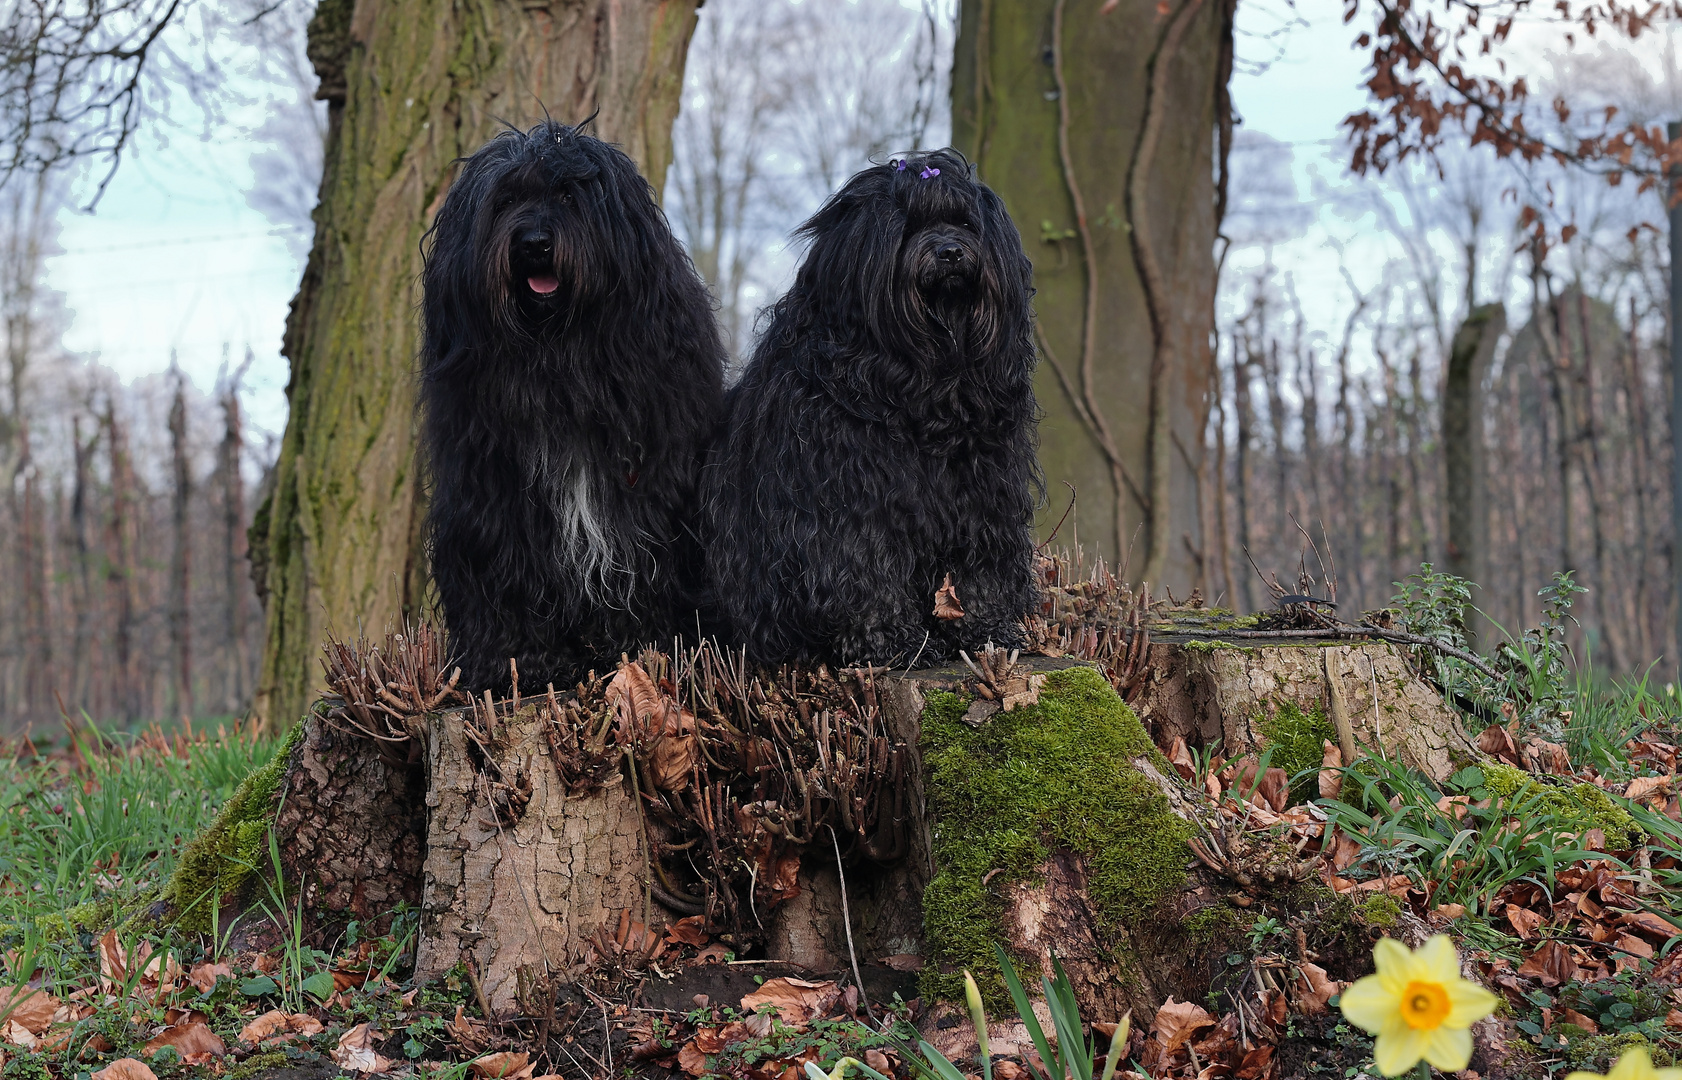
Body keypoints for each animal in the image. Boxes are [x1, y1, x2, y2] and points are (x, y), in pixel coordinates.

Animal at [418, 117, 723, 689]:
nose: (534, 242)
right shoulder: (491, 491)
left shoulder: (645, 484)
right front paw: (516, 663)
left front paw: (643, 648)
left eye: (568, 195)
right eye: (506, 199)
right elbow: (506, 566)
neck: (558, 357)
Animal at [696, 147, 1036, 659]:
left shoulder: (984, 487)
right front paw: (891, 641)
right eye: (908, 225)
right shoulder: (848, 492)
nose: (950, 251)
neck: (925, 379)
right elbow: (865, 564)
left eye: (965, 222)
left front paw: (989, 631)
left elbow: (981, 564)